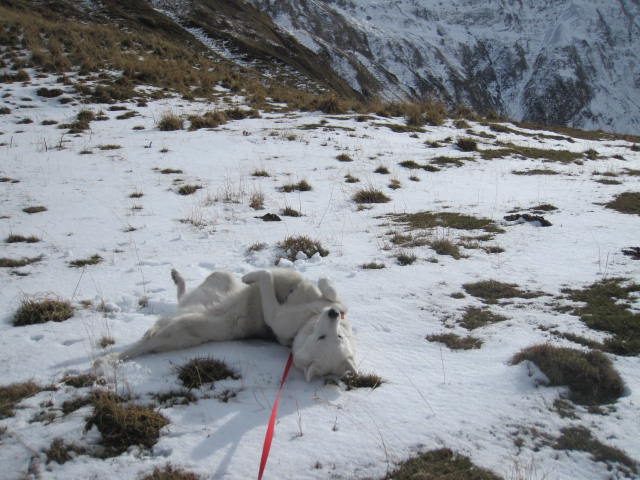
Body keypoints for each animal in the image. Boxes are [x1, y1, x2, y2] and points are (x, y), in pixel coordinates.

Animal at [102, 268, 358, 380]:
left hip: (182, 326)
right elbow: (327, 289)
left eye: (328, 338)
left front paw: (255, 276)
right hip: (218, 279)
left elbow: (267, 278)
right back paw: (177, 278)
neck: (305, 320)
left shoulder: (276, 315)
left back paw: (106, 362)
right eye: (336, 336)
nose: (333, 314)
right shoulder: (325, 299)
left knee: (142, 345)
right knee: (184, 294)